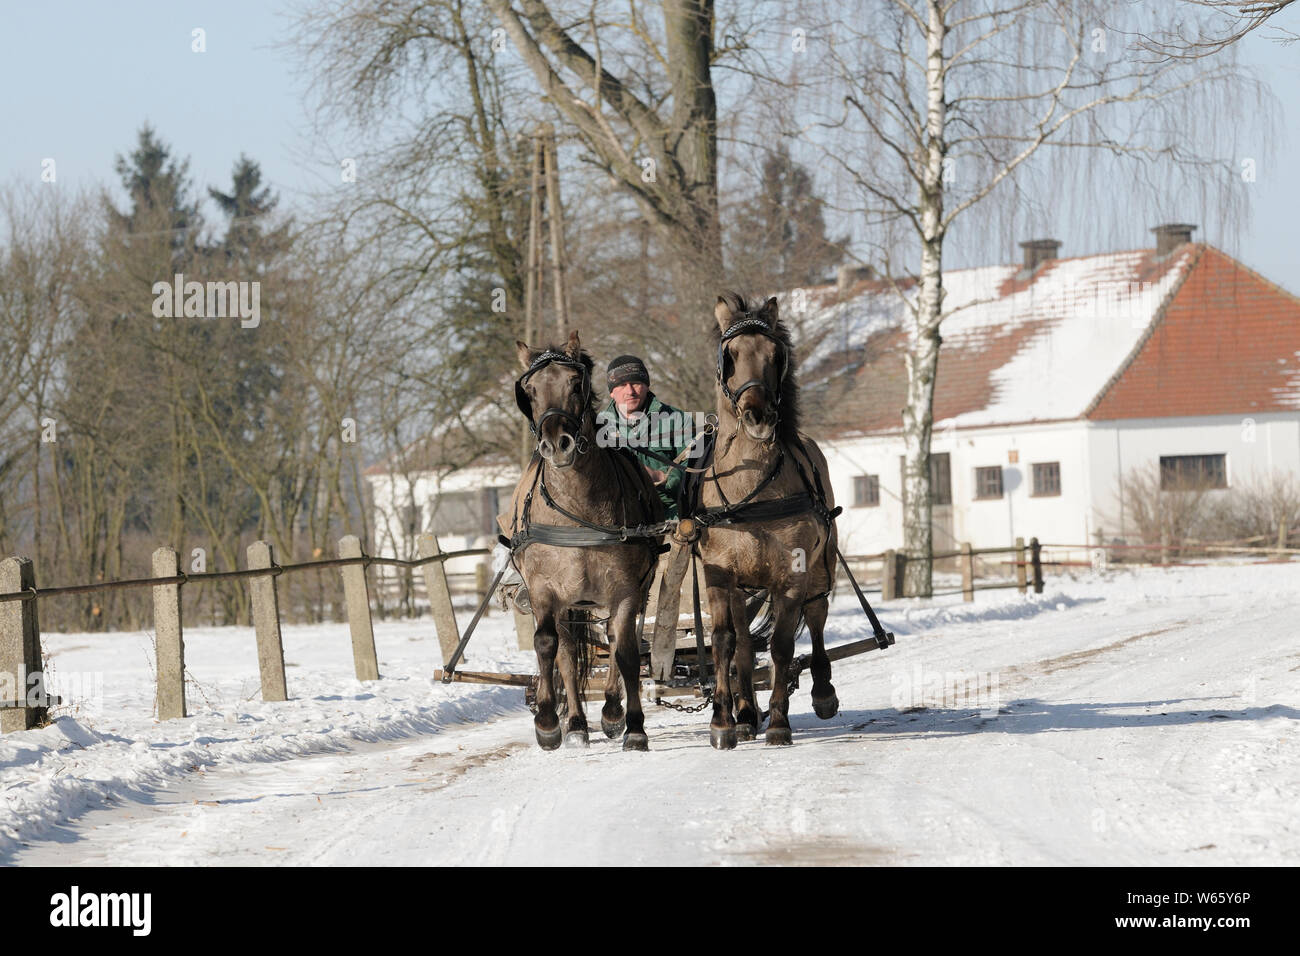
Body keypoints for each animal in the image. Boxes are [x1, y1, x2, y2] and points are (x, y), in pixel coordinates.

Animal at [502, 330, 666, 751]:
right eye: (529, 389)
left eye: (575, 383)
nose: (556, 444)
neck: (578, 510)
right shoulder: (544, 589)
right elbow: (547, 646)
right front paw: (547, 723)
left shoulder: (625, 590)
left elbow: (626, 652)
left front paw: (633, 725)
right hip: (568, 602)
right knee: (564, 649)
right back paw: (575, 722)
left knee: (616, 639)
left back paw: (610, 712)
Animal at [690, 291, 840, 749]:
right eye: (731, 355)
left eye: (775, 355)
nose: (758, 416)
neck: (752, 491)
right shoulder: (719, 574)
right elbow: (724, 643)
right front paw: (723, 721)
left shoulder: (791, 574)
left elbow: (781, 646)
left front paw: (778, 721)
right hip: (742, 588)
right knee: (741, 642)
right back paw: (743, 714)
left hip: (821, 565)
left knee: (816, 614)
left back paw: (822, 691)